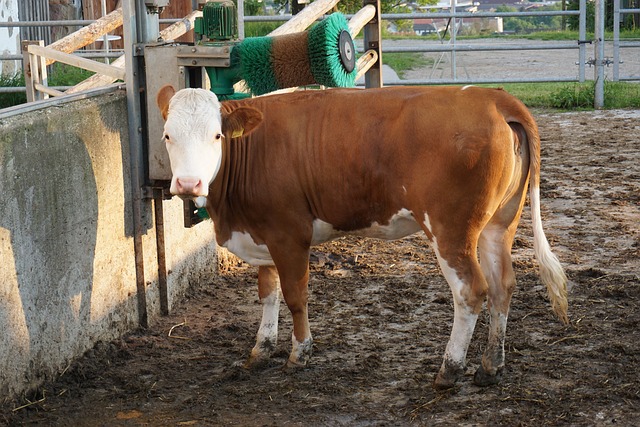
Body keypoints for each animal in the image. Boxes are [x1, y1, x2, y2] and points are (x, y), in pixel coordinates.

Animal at [158, 85, 568, 390]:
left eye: (216, 135)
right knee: (503, 285)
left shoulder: (289, 233)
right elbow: (268, 293)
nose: (188, 183)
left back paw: (449, 369)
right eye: (167, 135)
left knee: (471, 291)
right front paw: (261, 349)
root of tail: (491, 97)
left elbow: (294, 296)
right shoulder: (263, 232)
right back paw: (490, 366)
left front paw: (299, 353)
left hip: (452, 229)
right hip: (499, 224)